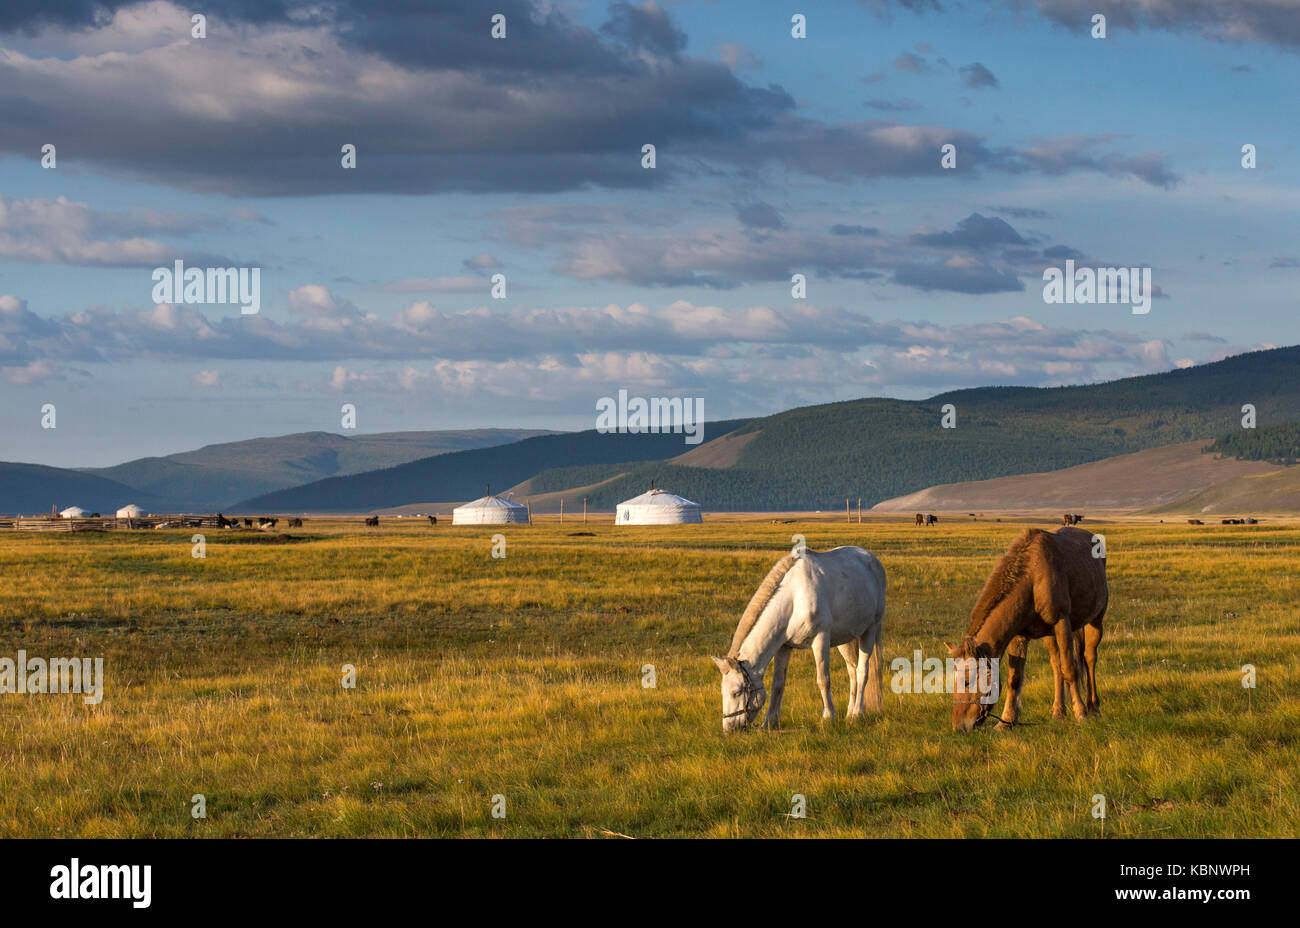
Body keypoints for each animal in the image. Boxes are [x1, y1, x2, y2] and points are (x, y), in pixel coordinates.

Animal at [711, 546, 886, 732]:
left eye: (736, 692)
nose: (728, 729)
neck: (794, 598)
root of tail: (872, 560)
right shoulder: (783, 646)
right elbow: (778, 683)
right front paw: (769, 722)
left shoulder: (820, 640)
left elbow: (823, 679)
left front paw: (828, 717)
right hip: (846, 639)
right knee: (852, 671)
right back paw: (849, 713)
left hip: (870, 630)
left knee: (862, 671)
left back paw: (857, 713)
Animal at [948, 526, 1106, 732]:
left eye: (967, 681)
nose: (958, 727)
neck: (1032, 577)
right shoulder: (1019, 635)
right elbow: (1014, 679)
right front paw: (1006, 720)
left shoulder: (1062, 622)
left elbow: (1070, 669)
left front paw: (1081, 713)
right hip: (1050, 635)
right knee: (1056, 664)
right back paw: (1059, 711)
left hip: (1095, 621)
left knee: (1089, 659)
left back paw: (1093, 707)